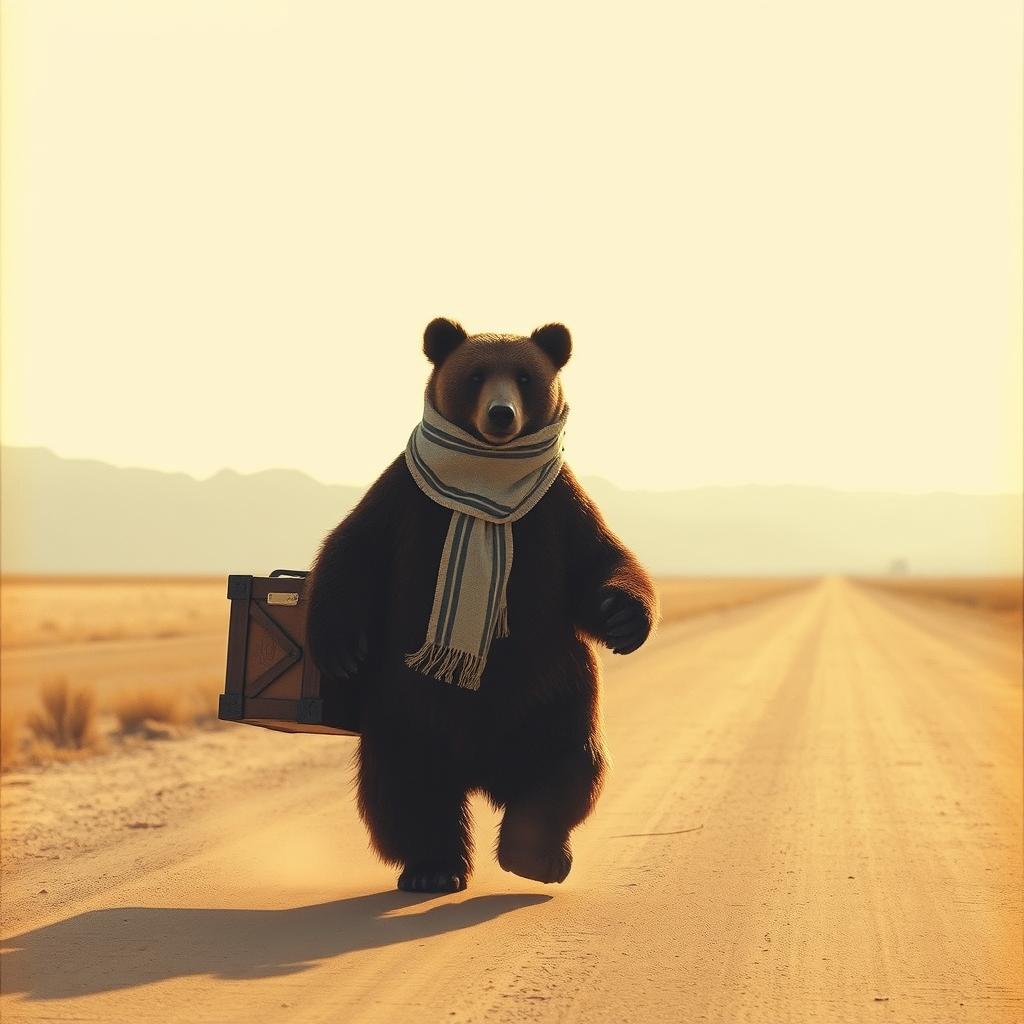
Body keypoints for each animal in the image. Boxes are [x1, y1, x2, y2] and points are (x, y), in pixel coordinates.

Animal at [305, 318, 658, 893]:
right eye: (475, 375)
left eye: (524, 376)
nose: (500, 413)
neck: (486, 477)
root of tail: (481, 769)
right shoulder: (406, 501)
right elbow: (353, 548)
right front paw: (338, 648)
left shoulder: (558, 509)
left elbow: (600, 560)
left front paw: (624, 618)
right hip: (408, 701)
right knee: (406, 778)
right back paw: (433, 868)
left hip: (555, 690)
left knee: (565, 761)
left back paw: (535, 855)